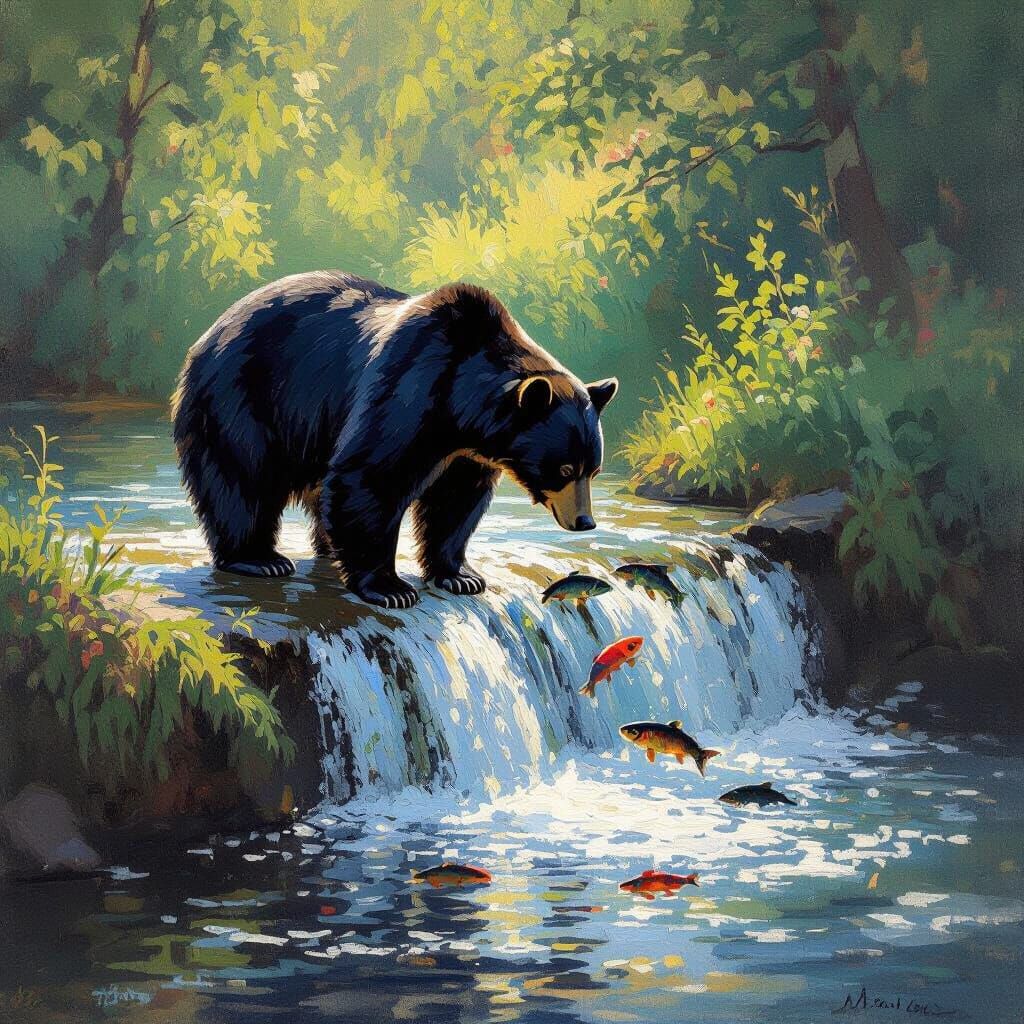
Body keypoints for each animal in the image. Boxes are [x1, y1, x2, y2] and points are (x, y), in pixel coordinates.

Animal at [172, 271, 617, 609]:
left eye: (593, 470)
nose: (585, 522)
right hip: (242, 397)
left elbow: (455, 502)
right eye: (564, 468)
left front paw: (461, 576)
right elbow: (371, 476)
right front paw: (390, 588)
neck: (461, 404)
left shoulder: (468, 452)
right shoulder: (411, 387)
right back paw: (259, 559)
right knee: (241, 477)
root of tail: (209, 333)